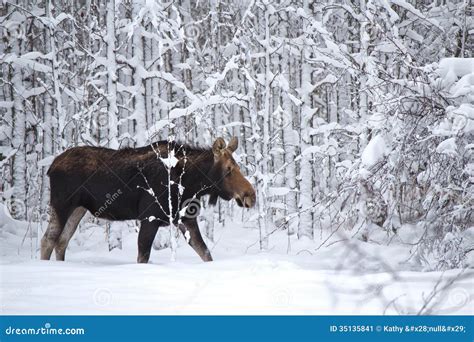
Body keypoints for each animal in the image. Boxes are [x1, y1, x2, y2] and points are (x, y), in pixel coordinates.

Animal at [40, 138, 256, 264]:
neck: (190, 182)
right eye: (229, 169)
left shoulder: (185, 219)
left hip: (78, 209)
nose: (251, 195)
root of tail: (51, 167)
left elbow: (206, 254)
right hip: (62, 204)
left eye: (237, 166)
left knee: (62, 241)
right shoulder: (149, 217)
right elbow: (142, 256)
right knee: (48, 239)